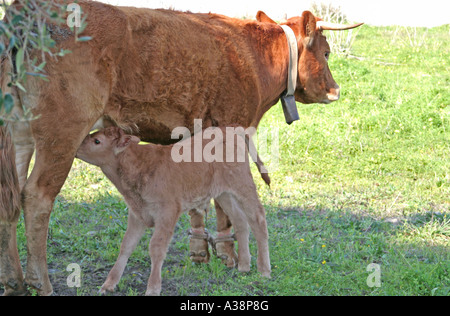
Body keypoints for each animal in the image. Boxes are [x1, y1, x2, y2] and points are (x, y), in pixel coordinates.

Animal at [76, 126, 270, 296]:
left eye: (97, 141)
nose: (76, 147)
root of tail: (231, 130)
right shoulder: (137, 213)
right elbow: (126, 245)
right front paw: (108, 284)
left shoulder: (167, 212)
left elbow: (156, 247)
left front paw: (153, 288)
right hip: (223, 193)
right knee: (240, 220)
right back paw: (244, 266)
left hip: (242, 184)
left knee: (258, 218)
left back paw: (264, 270)